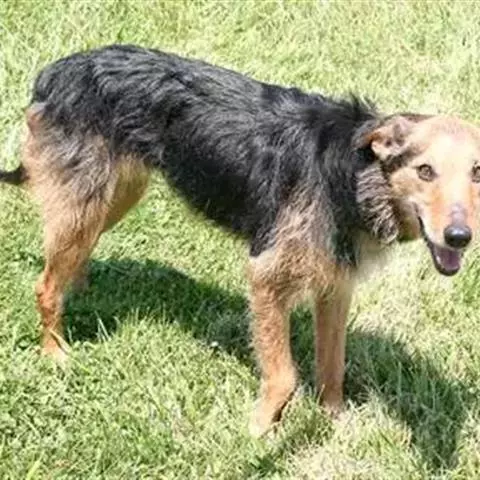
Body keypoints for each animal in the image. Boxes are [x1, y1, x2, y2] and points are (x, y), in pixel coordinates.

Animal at [2, 44, 480, 437]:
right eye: (425, 171)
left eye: (476, 173)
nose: (460, 238)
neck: (353, 174)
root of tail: (56, 71)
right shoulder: (266, 276)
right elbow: (285, 375)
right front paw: (257, 431)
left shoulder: (335, 286)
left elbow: (332, 365)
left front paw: (335, 423)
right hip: (86, 203)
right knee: (44, 286)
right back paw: (55, 352)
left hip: (116, 194)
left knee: (71, 259)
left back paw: (80, 289)